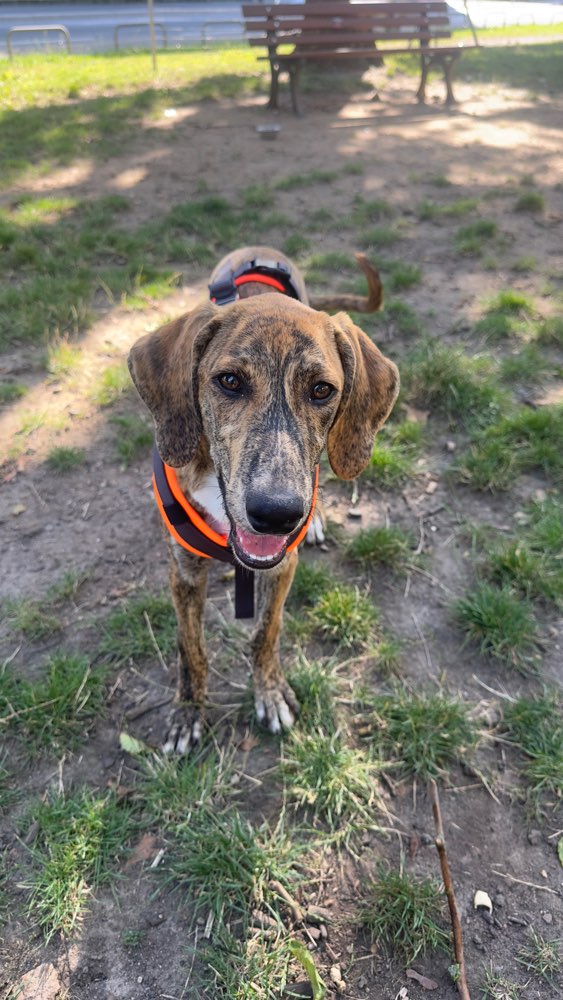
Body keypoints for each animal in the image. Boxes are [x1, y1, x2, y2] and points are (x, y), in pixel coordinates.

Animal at [129, 246, 398, 752]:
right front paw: (187, 711)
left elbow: (265, 633)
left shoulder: (281, 566)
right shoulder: (183, 573)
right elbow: (190, 648)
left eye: (322, 390)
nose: (277, 515)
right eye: (229, 381)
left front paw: (269, 692)